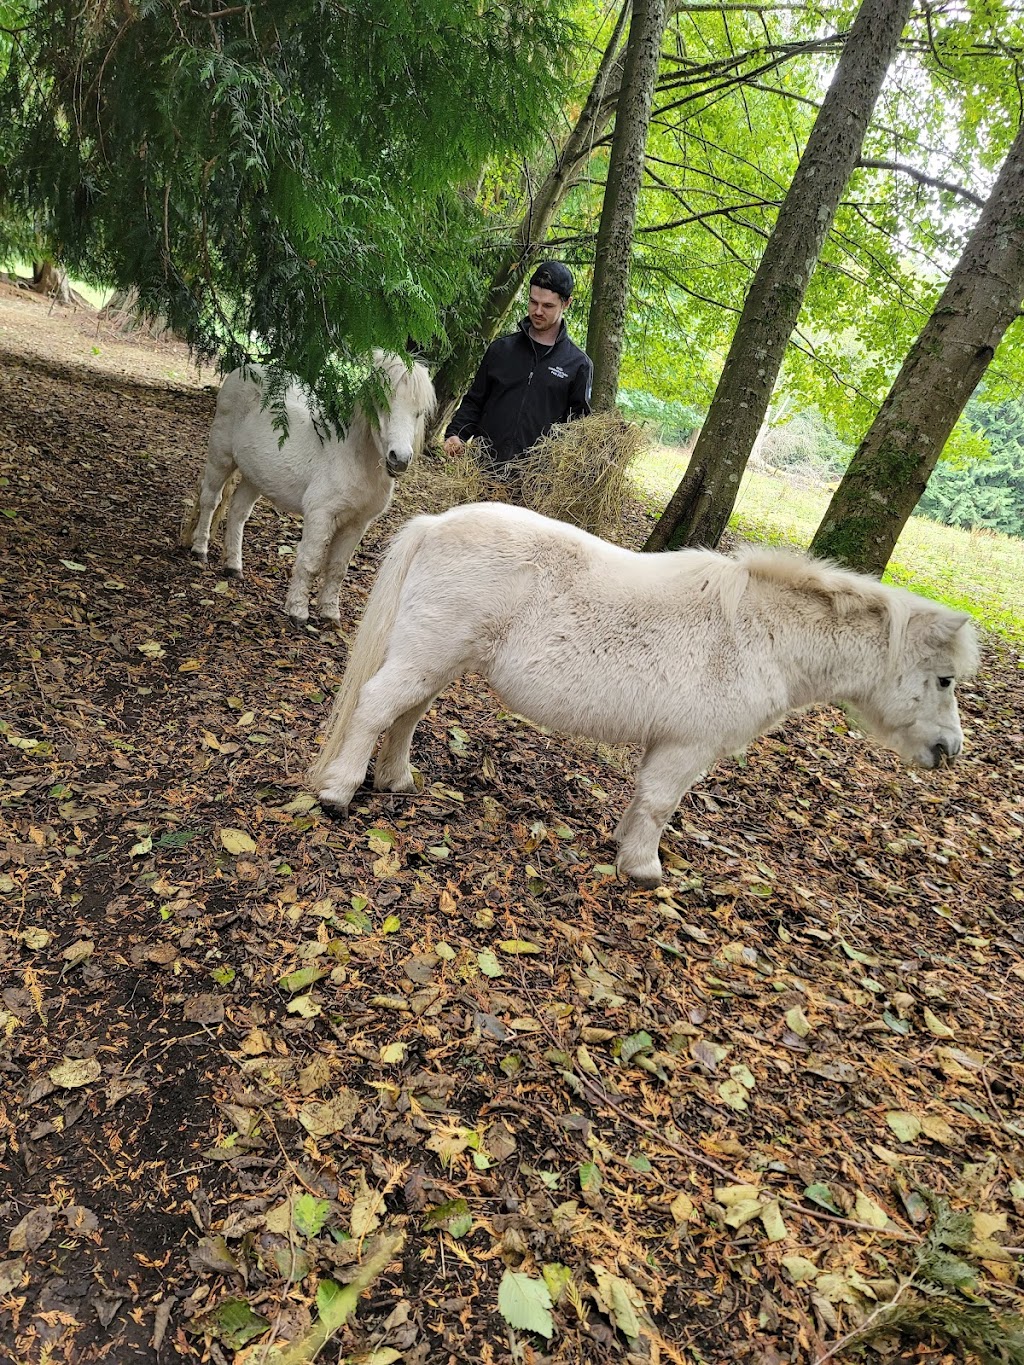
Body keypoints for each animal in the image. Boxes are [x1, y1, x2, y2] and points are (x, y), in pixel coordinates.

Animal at [182, 354, 434, 625]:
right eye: (382, 404)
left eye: (419, 412)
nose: (400, 459)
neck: (353, 458)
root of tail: (245, 369)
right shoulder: (320, 515)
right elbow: (311, 563)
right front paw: (298, 611)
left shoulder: (357, 524)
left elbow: (338, 568)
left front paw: (330, 613)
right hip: (221, 458)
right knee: (210, 499)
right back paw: (200, 550)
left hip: (255, 476)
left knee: (238, 512)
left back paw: (233, 566)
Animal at [308, 502, 983, 884]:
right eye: (945, 679)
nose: (950, 749)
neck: (761, 636)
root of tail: (437, 523)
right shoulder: (689, 747)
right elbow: (661, 805)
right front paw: (642, 870)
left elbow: (644, 801)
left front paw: (625, 846)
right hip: (426, 655)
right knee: (375, 708)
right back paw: (338, 792)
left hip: (437, 660)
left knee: (408, 714)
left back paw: (395, 780)